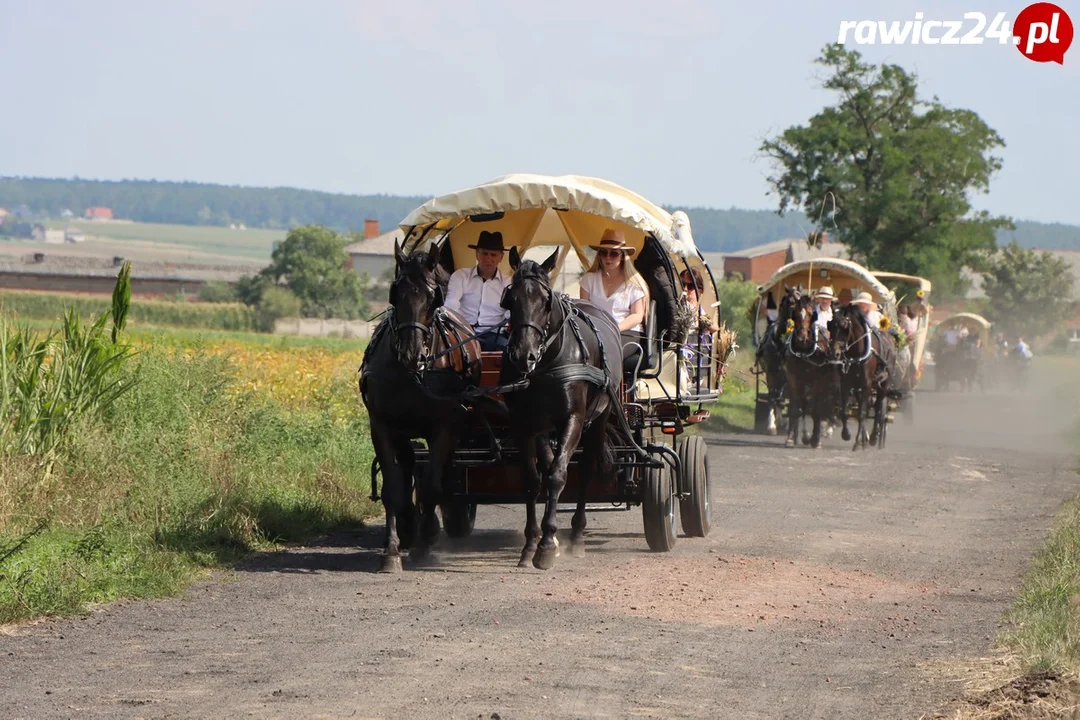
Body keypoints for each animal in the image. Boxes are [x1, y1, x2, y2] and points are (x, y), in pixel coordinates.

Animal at [358, 241, 481, 574]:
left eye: (432, 297)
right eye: (395, 293)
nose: (411, 353)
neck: (413, 373)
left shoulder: (446, 426)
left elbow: (432, 487)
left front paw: (426, 541)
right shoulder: (382, 426)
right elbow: (392, 489)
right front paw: (391, 551)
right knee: (410, 465)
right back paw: (408, 525)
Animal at [498, 250, 626, 569]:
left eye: (546, 301)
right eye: (510, 298)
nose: (524, 355)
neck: (546, 364)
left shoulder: (574, 419)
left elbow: (558, 475)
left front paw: (545, 547)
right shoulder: (524, 425)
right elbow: (533, 480)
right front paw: (532, 544)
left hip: (599, 419)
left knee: (587, 468)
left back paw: (577, 536)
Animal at [786, 293, 833, 451]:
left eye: (812, 314)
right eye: (794, 313)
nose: (802, 338)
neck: (804, 351)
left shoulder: (818, 380)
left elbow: (815, 409)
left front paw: (815, 439)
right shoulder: (793, 378)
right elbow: (796, 407)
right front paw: (791, 438)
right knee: (804, 404)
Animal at [825, 304, 894, 451]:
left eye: (845, 327)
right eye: (830, 326)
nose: (835, 353)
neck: (856, 354)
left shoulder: (866, 385)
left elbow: (862, 413)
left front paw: (857, 442)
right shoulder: (846, 384)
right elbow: (846, 412)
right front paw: (847, 435)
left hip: (883, 385)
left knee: (878, 409)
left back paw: (874, 437)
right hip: (859, 389)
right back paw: (866, 440)